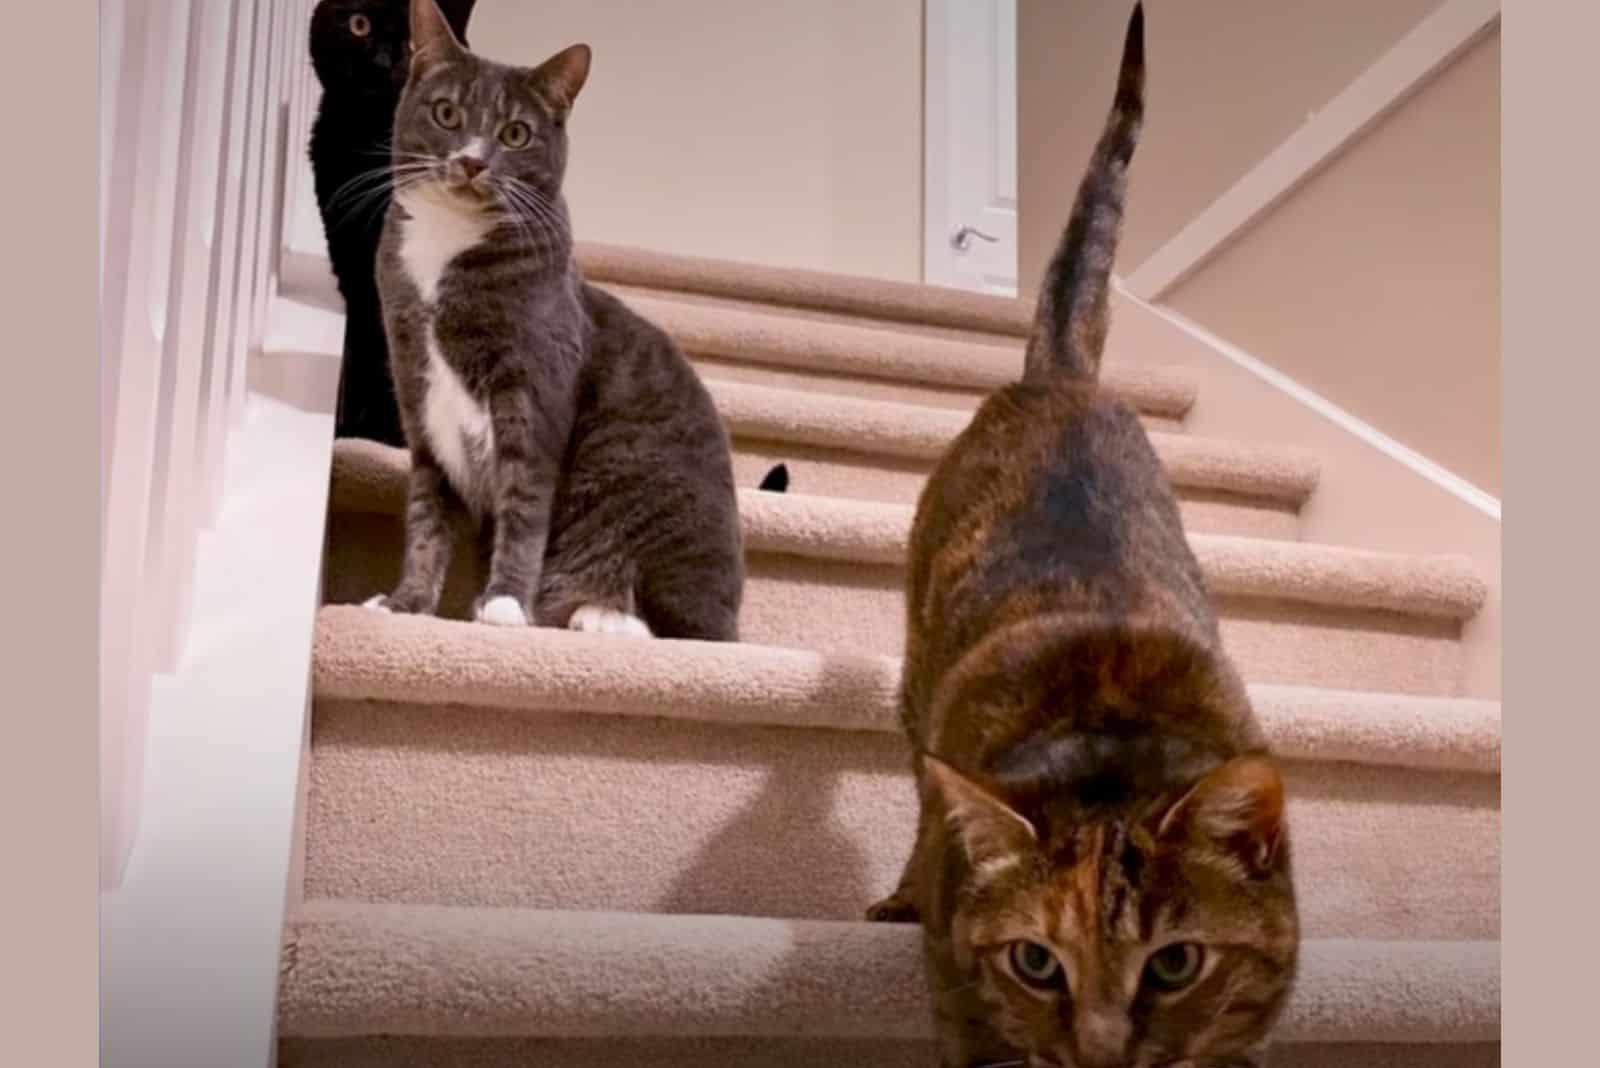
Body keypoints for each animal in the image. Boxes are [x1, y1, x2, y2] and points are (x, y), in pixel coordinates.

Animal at [368, 0, 742, 639]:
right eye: (446, 113)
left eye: (515, 133)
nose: (472, 161)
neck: (447, 248)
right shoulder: (418, 397)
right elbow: (425, 520)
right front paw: (404, 603)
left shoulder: (533, 391)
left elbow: (524, 505)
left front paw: (503, 604)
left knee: (682, 630)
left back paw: (601, 615)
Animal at [876, 6, 1299, 1061]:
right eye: (1037, 962)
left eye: (1176, 963)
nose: (1103, 1052)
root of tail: (1061, 379)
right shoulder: (960, 990)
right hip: (912, 680)